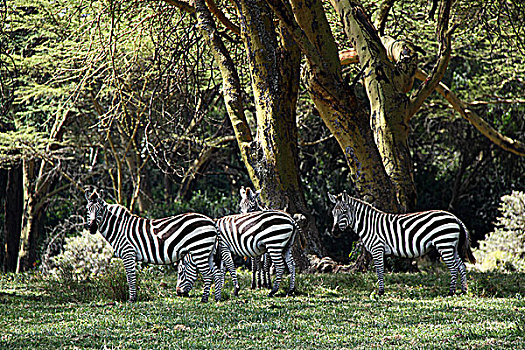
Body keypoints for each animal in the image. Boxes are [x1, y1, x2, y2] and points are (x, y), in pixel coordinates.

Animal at [85, 190, 220, 302]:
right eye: (88, 210)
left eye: (100, 210)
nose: (92, 228)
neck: (119, 228)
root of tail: (211, 221)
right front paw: (133, 297)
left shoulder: (128, 252)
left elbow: (130, 277)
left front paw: (132, 299)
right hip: (208, 252)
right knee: (215, 273)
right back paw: (215, 298)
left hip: (199, 250)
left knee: (208, 274)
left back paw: (204, 299)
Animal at [330, 191, 476, 296]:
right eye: (333, 213)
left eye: (344, 212)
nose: (334, 232)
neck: (369, 224)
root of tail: (455, 218)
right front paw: (381, 290)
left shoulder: (377, 248)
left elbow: (379, 270)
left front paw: (380, 292)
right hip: (452, 246)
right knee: (461, 266)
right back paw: (464, 290)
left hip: (444, 244)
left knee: (453, 268)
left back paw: (451, 292)